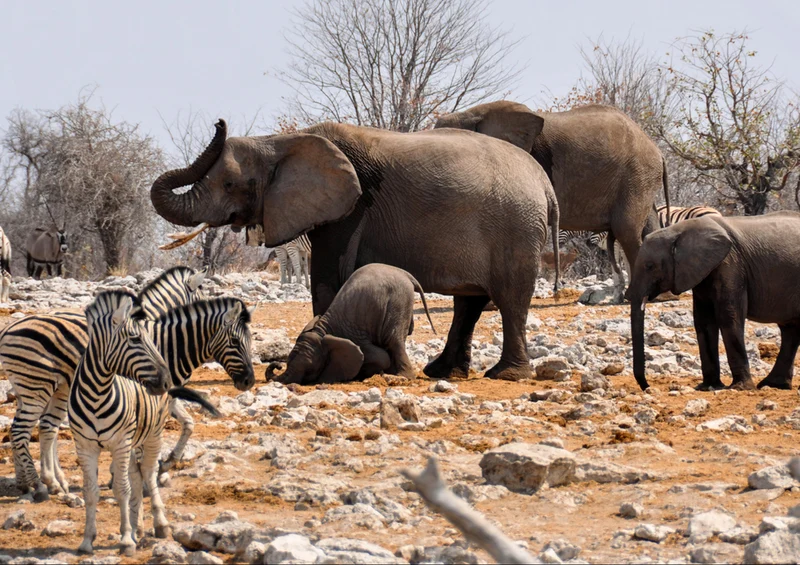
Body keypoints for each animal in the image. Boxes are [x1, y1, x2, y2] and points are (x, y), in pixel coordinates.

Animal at [267, 263, 436, 384]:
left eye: (309, 369)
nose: (278, 365)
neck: (323, 330)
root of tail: (406, 274)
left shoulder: (357, 336)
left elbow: (380, 356)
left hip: (398, 300)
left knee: (393, 340)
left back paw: (402, 377)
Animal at [434, 100, 670, 301]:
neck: (472, 114)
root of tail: (658, 151)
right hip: (640, 181)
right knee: (647, 225)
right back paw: (659, 296)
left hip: (637, 176)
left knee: (626, 231)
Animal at [627, 211, 800, 392]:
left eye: (649, 266)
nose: (647, 386)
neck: (677, 231)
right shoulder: (701, 271)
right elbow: (703, 321)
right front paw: (708, 386)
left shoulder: (730, 265)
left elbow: (728, 317)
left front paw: (740, 388)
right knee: (790, 330)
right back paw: (773, 385)